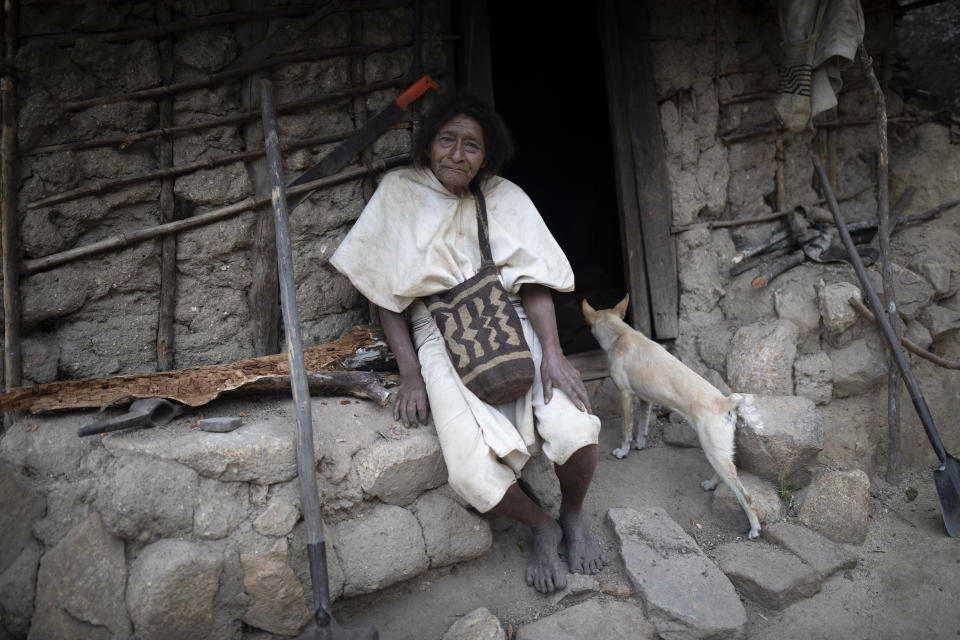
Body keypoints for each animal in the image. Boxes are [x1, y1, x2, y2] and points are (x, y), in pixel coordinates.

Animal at [580, 296, 760, 540]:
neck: (620, 334)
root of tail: (724, 402)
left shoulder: (625, 395)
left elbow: (627, 429)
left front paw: (623, 451)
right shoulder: (645, 399)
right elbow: (642, 425)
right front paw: (640, 444)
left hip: (713, 451)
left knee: (745, 495)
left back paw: (754, 528)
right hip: (719, 452)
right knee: (726, 473)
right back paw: (710, 485)